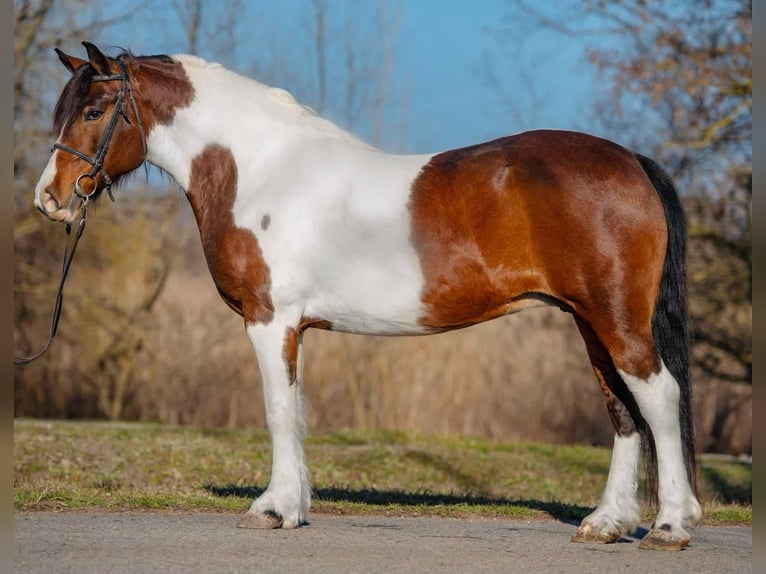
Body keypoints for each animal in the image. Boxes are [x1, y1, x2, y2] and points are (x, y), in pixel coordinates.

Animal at [33, 42, 704, 552]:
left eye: (94, 109)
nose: (50, 200)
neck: (262, 170)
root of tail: (632, 161)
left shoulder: (270, 320)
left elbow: (278, 411)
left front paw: (271, 509)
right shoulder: (294, 327)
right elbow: (297, 411)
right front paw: (293, 505)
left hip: (616, 320)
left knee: (658, 396)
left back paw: (670, 526)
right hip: (591, 322)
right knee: (622, 410)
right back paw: (606, 524)